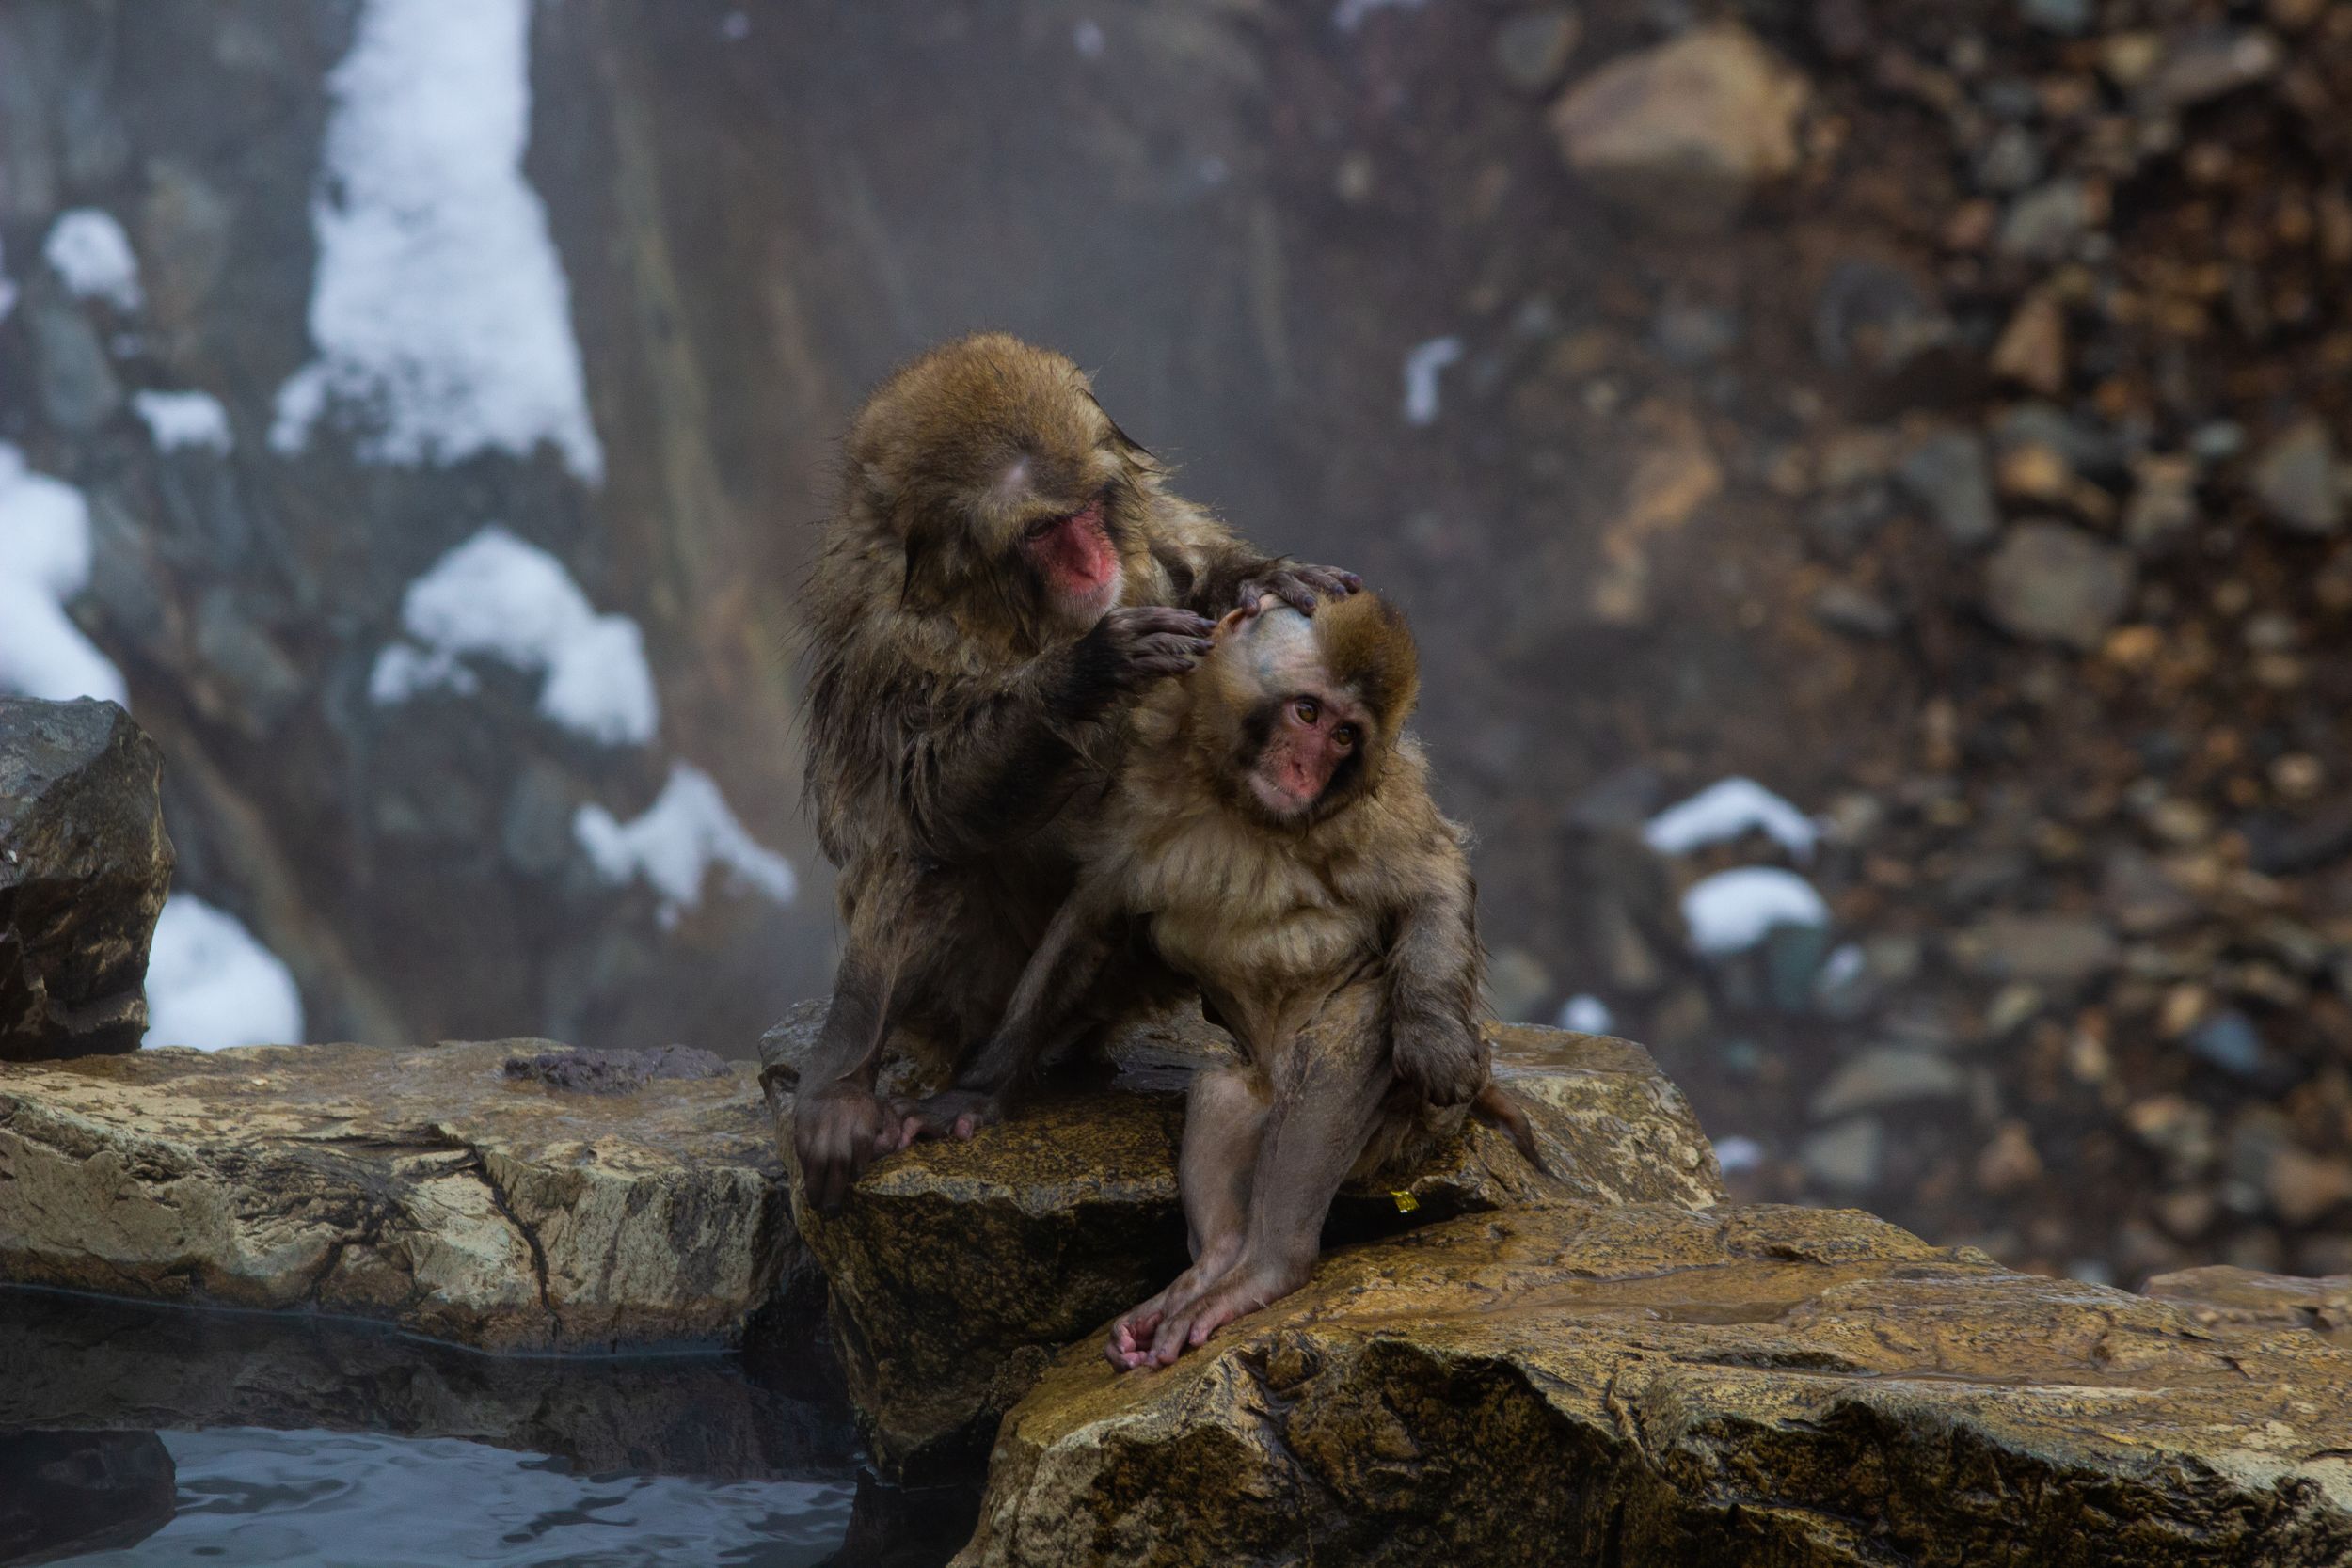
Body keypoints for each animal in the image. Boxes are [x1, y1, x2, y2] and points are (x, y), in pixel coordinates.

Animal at [782, 333, 1360, 1213]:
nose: (1093, 560)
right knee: (931, 852)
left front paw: (1267, 578)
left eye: (1089, 509)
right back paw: (855, 1074)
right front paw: (1087, 670)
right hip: (959, 1011)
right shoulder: (887, 636)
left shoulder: (1141, 530)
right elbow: (920, 797)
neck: (1006, 613)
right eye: (1045, 532)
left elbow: (1187, 568)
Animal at [913, 590, 1541, 1368]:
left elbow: (1432, 879)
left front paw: (1435, 1039)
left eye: (1345, 737)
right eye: (1308, 713)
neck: (1238, 800)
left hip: (1403, 1126)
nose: (1307, 768)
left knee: (1343, 1048)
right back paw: (1210, 1269)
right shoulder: (1134, 778)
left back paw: (1268, 1266)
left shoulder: (1375, 807)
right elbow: (1092, 914)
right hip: (1253, 1094)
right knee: (1221, 1095)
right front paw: (975, 1089)